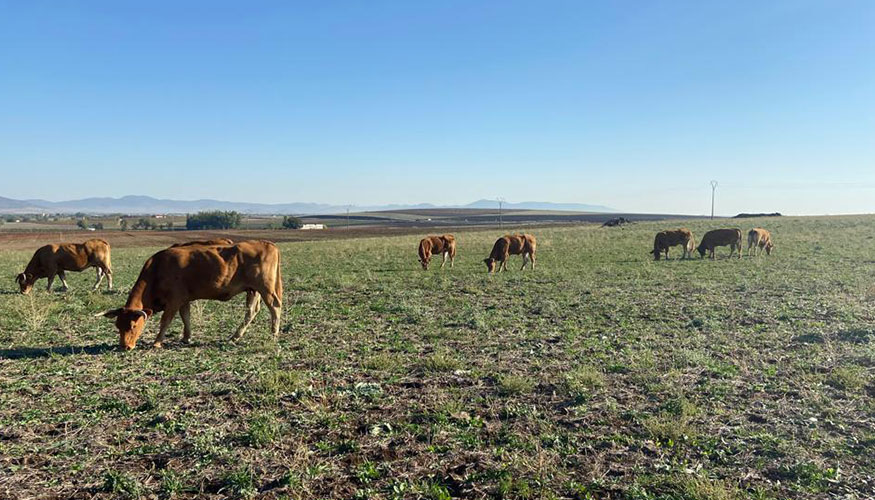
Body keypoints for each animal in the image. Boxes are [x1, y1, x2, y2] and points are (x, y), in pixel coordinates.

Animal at [101, 240, 282, 350]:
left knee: (274, 307)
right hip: (253, 290)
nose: (124, 346)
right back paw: (235, 337)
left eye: (132, 326)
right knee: (251, 311)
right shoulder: (184, 300)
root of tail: (268, 244)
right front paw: (186, 338)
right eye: (118, 326)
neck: (158, 269)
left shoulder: (174, 300)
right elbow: (185, 317)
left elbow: (165, 321)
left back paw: (274, 333)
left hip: (266, 288)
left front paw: (157, 342)